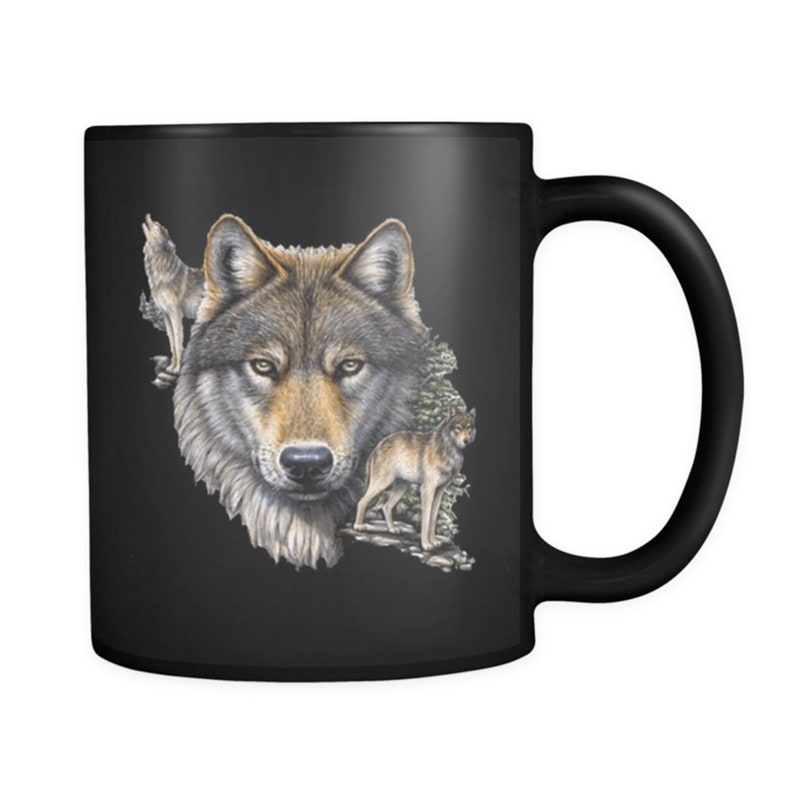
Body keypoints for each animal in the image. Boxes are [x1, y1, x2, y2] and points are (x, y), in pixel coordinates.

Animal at [142, 214, 204, 388]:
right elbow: (172, 343)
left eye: (157, 225)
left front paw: (177, 369)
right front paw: (171, 367)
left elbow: (177, 342)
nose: (148, 215)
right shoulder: (166, 315)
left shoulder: (176, 314)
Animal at [353, 408, 476, 551]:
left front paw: (434, 542)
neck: (447, 451)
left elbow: (433, 519)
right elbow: (426, 519)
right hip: (382, 484)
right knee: (362, 501)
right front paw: (426, 545)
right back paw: (358, 526)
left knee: (386, 507)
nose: (466, 440)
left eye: (469, 427)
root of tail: (376, 448)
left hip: (401, 488)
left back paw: (392, 529)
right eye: (458, 428)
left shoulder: (439, 491)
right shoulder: (427, 490)